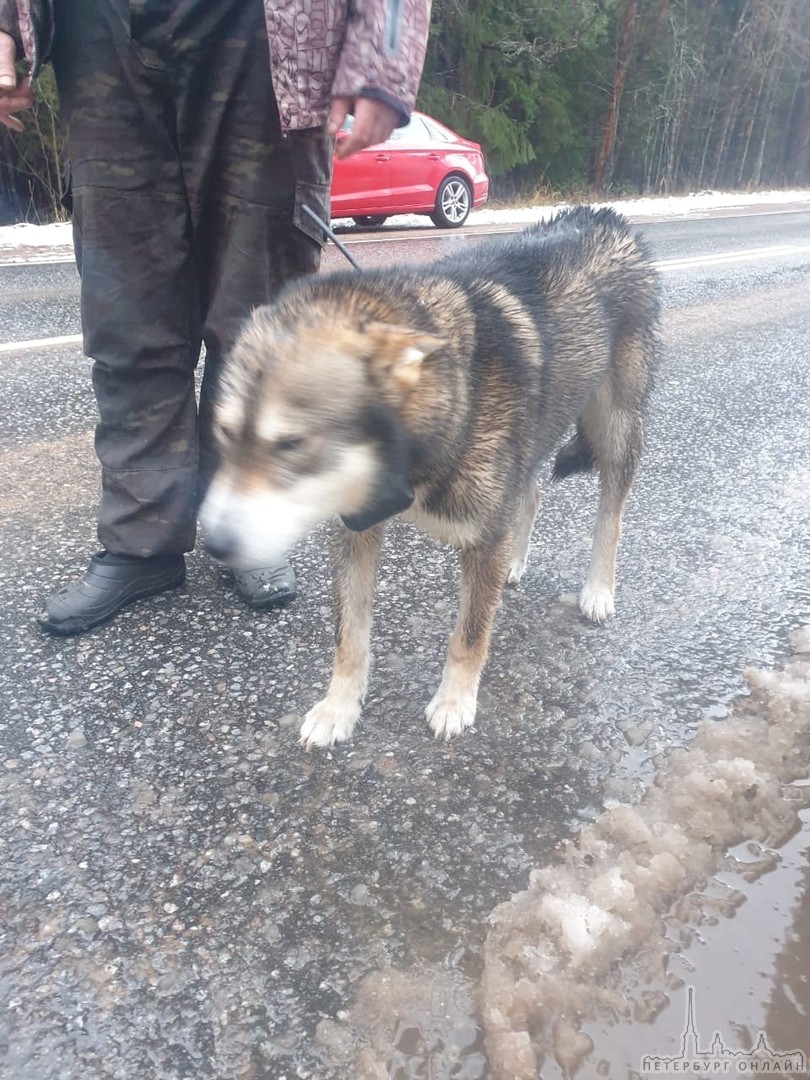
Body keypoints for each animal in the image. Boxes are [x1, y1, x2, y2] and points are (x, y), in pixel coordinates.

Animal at [201, 206, 660, 747]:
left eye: (292, 444)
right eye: (224, 433)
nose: (216, 544)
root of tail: (604, 217)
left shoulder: (482, 537)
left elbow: (469, 634)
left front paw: (455, 700)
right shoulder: (354, 532)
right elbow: (349, 635)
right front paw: (339, 707)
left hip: (617, 427)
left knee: (611, 514)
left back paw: (598, 589)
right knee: (529, 496)